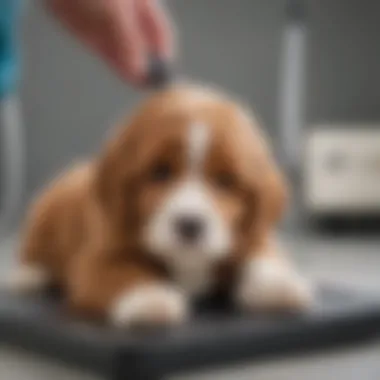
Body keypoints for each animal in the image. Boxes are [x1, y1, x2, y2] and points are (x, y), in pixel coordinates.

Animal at [9, 84, 312, 328]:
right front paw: (150, 299)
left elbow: (263, 254)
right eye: (160, 172)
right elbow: (121, 273)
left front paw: (279, 284)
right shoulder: (96, 260)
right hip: (41, 219)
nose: (190, 225)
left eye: (225, 180)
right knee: (32, 250)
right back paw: (28, 275)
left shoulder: (248, 234)